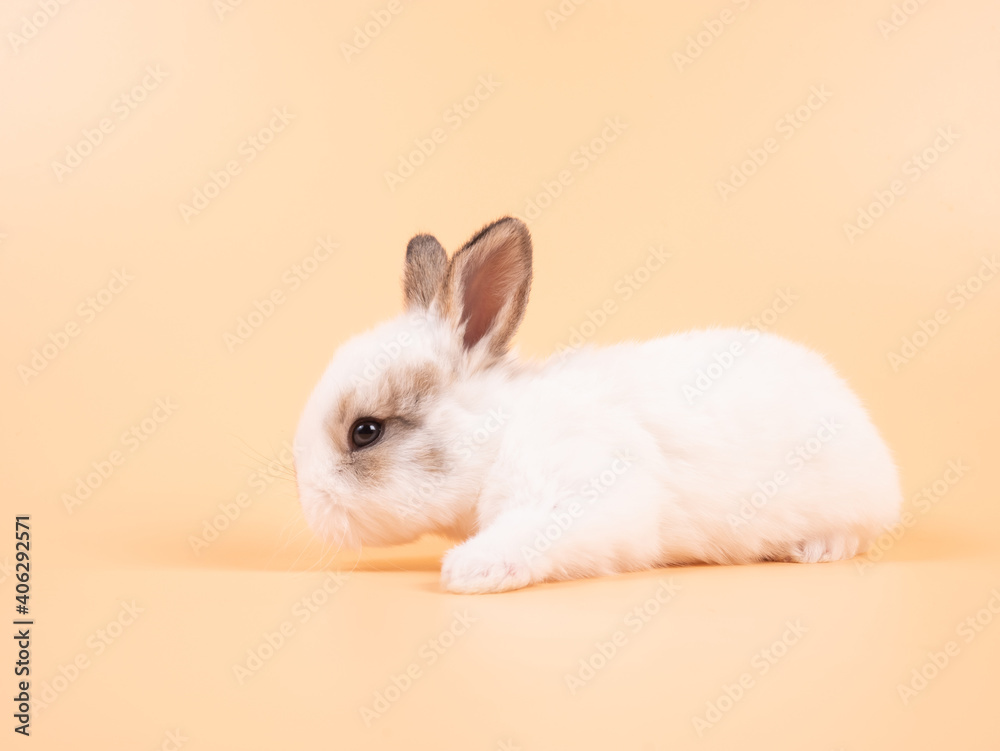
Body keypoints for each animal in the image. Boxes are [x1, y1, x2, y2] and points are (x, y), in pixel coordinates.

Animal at [292, 216, 904, 592]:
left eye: (366, 431)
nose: (308, 501)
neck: (500, 437)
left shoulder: (579, 494)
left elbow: (530, 535)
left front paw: (469, 570)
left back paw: (814, 549)